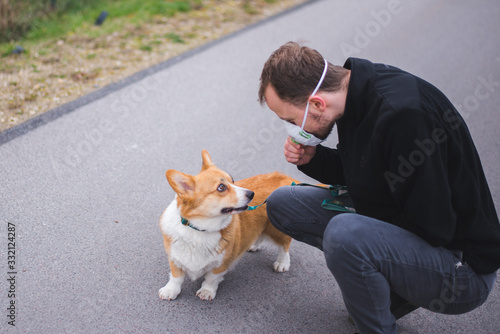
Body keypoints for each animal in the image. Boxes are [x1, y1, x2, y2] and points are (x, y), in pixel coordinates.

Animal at [158, 150, 294, 302]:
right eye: (221, 187)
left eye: (233, 180)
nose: (251, 193)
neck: (200, 229)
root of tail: (286, 177)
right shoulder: (174, 257)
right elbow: (176, 277)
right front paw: (170, 290)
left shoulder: (221, 263)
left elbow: (211, 278)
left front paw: (206, 291)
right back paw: (253, 245)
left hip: (277, 231)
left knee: (284, 247)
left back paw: (282, 263)